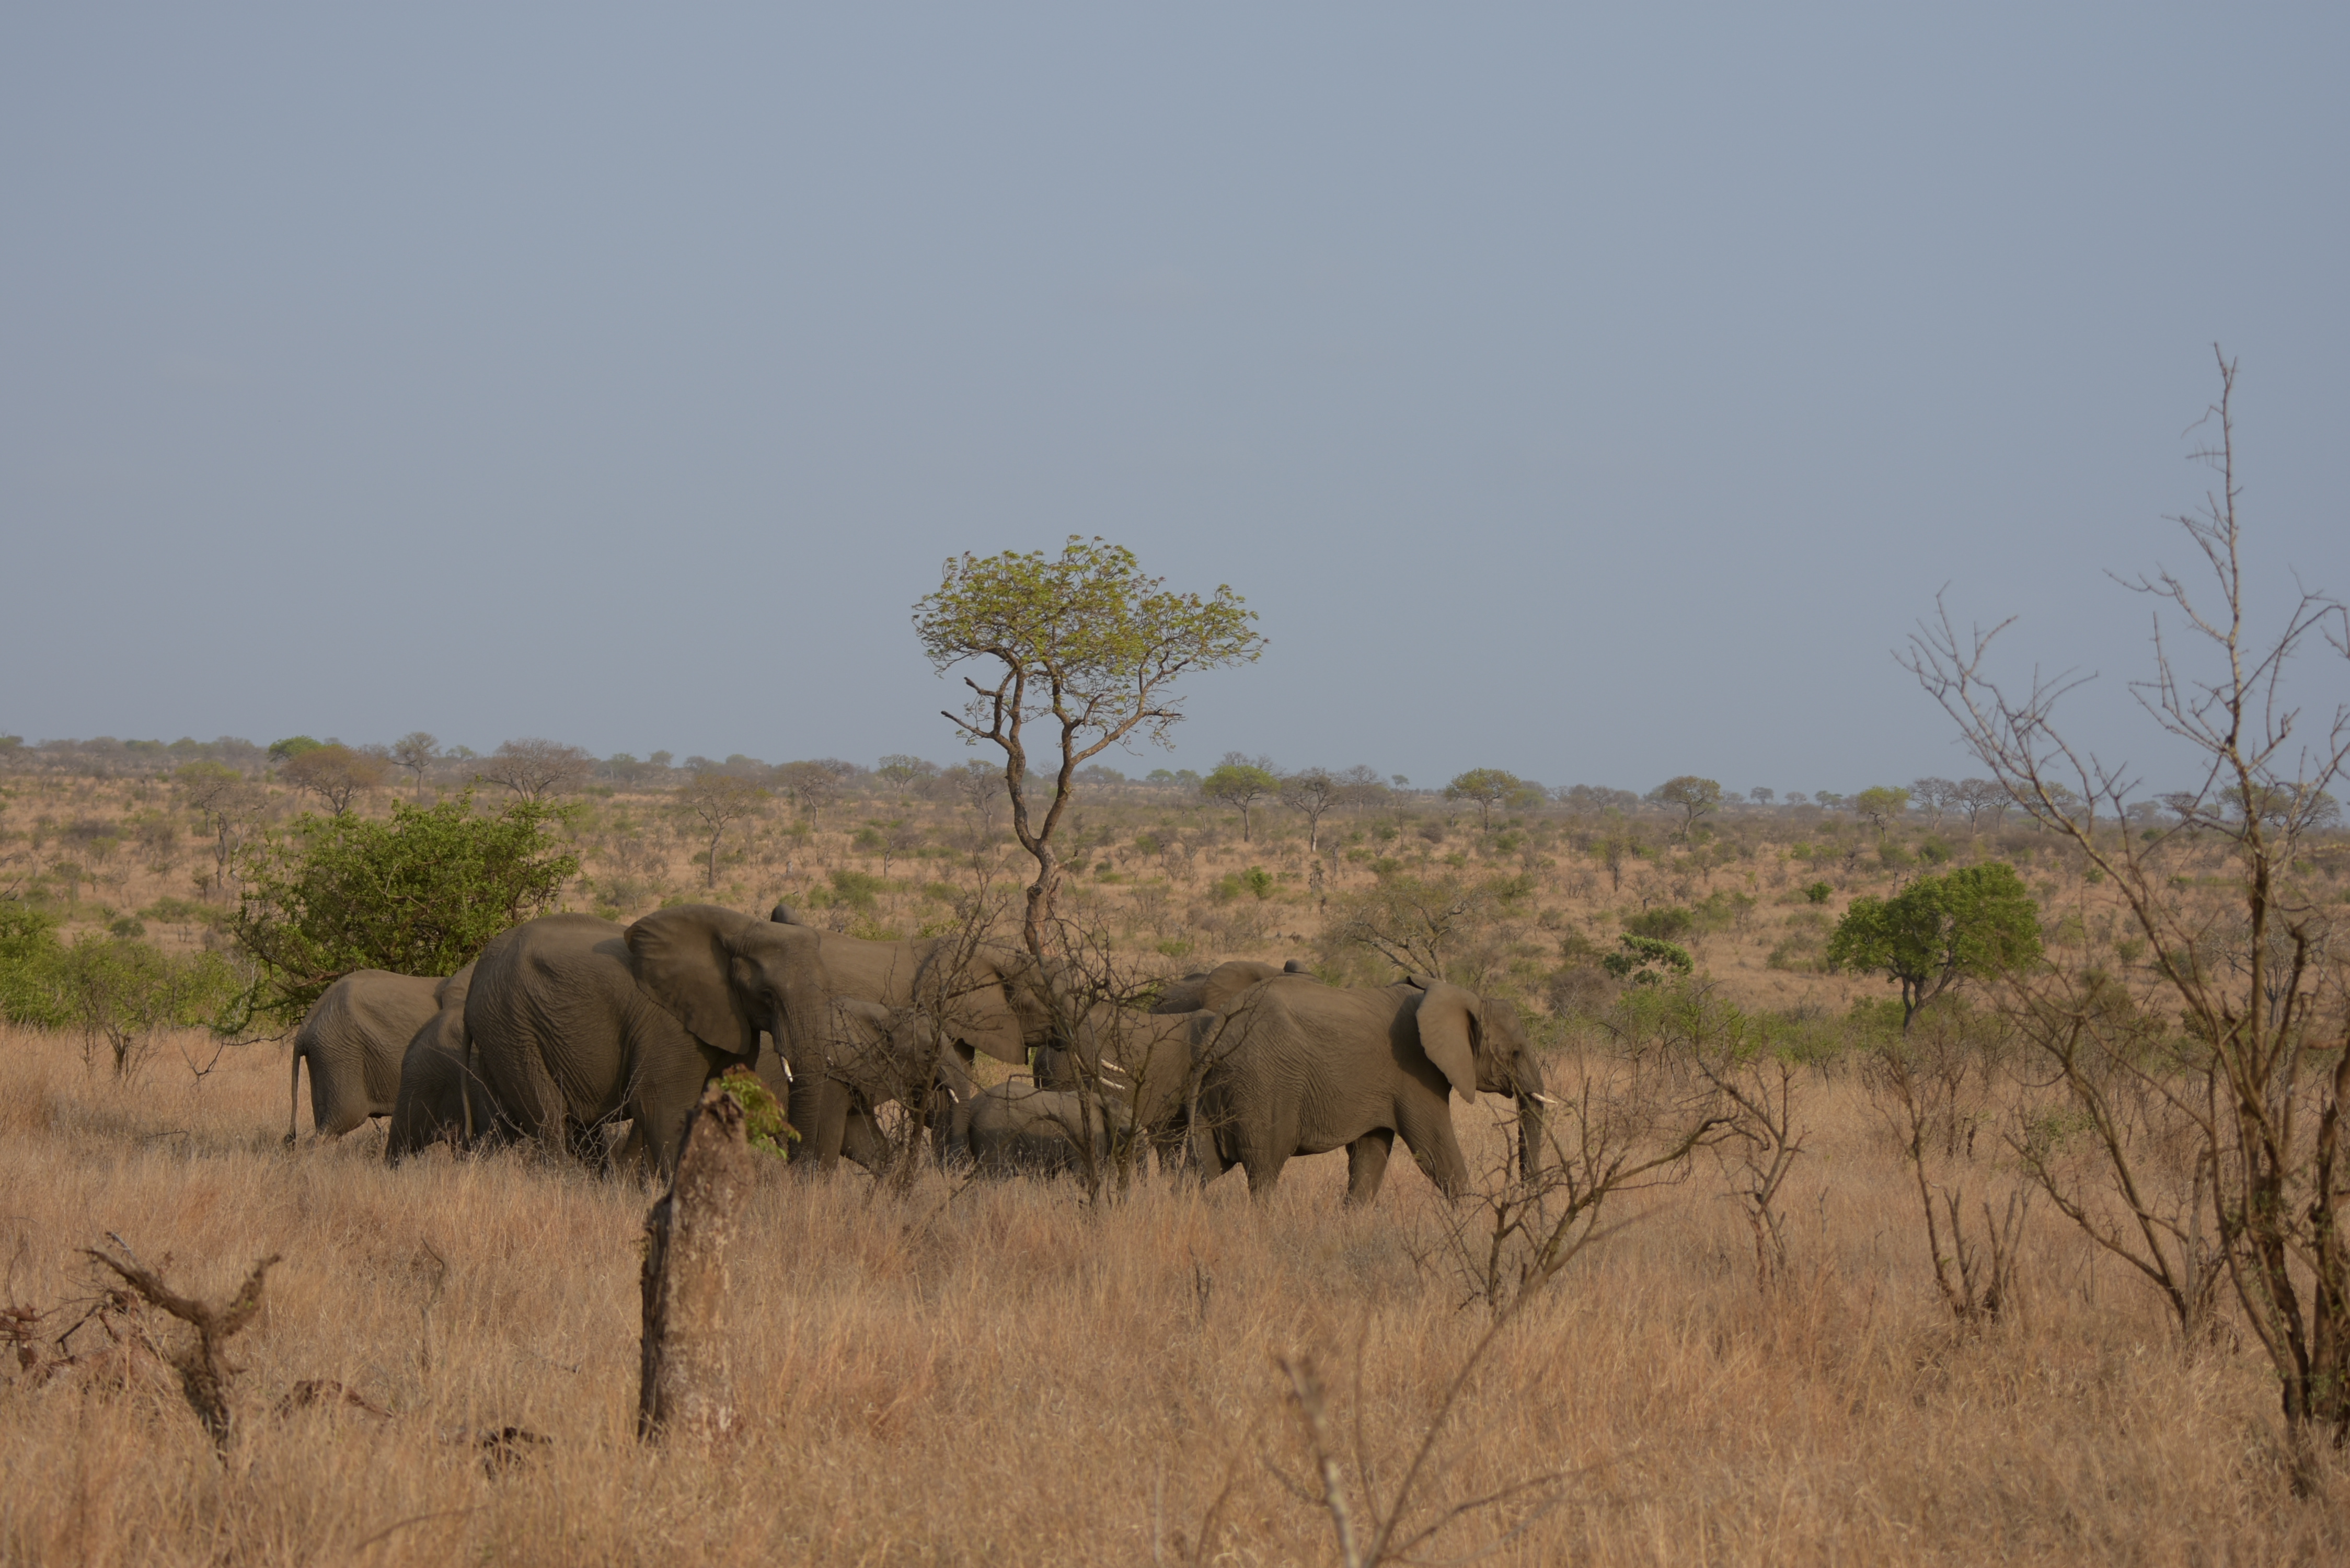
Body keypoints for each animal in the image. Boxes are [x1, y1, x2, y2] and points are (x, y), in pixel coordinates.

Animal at [463, 907, 832, 1175]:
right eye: (767, 995)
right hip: (511, 1025)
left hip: (503, 1033)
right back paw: (561, 1182)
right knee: (547, 1115)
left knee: (504, 1122)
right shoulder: (671, 1027)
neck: (740, 928)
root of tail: (476, 977)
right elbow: (660, 1109)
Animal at [1184, 973, 1551, 1213]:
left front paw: (1353, 1221)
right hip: (1265, 1085)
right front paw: (1470, 1223)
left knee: (1202, 1165)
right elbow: (1435, 1150)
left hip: (1215, 1090)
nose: (1532, 1209)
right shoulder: (1415, 1072)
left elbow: (1371, 1155)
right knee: (1263, 1170)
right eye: (1515, 1053)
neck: (1462, 997)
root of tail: (1219, 1031)